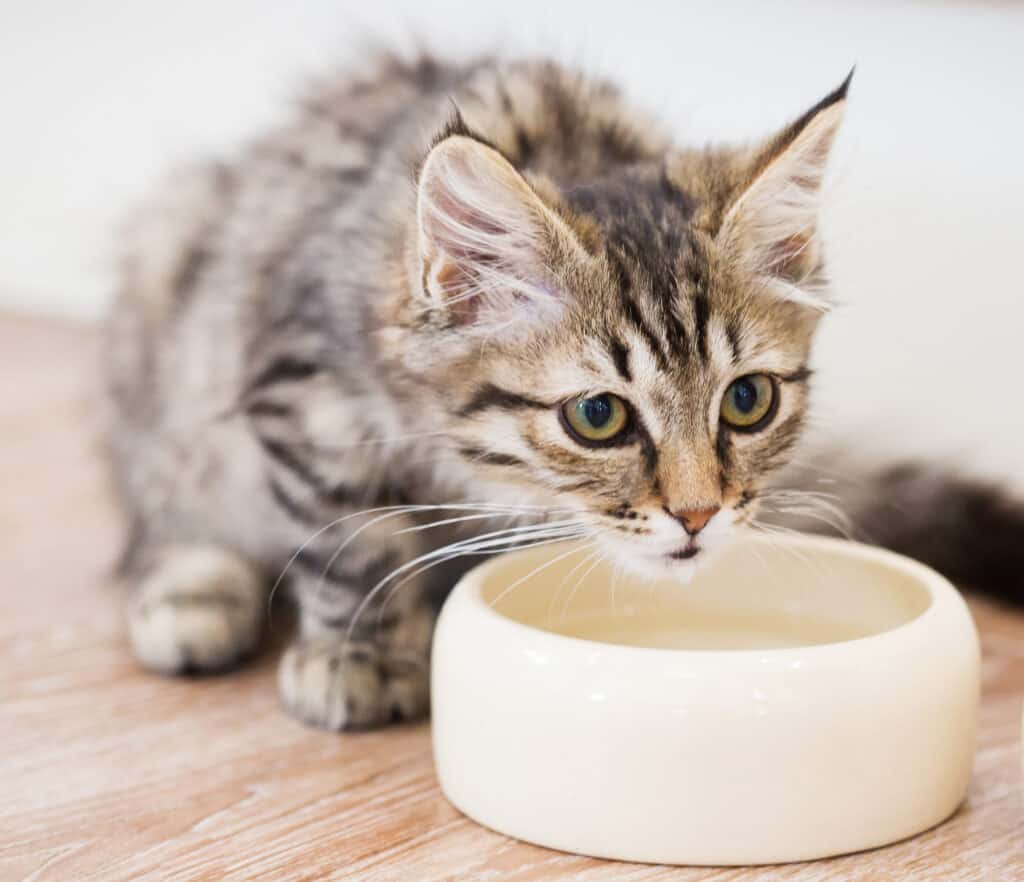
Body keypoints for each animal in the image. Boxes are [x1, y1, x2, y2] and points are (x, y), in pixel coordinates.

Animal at [101, 51, 1015, 733]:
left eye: (747, 401)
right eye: (598, 416)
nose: (699, 515)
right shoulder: (306, 393)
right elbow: (352, 539)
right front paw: (360, 656)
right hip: (163, 287)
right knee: (160, 518)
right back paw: (193, 595)